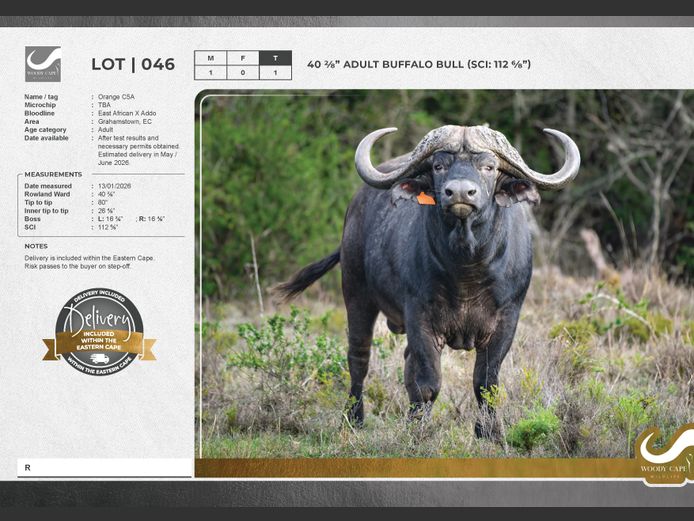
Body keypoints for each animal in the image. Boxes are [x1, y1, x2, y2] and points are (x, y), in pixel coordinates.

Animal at [276, 124, 580, 437]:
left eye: (489, 166)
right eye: (438, 165)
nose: (460, 193)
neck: (466, 269)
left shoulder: (507, 319)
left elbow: (485, 383)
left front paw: (489, 432)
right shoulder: (419, 317)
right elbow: (427, 383)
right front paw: (417, 433)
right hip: (355, 292)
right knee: (359, 358)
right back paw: (353, 418)